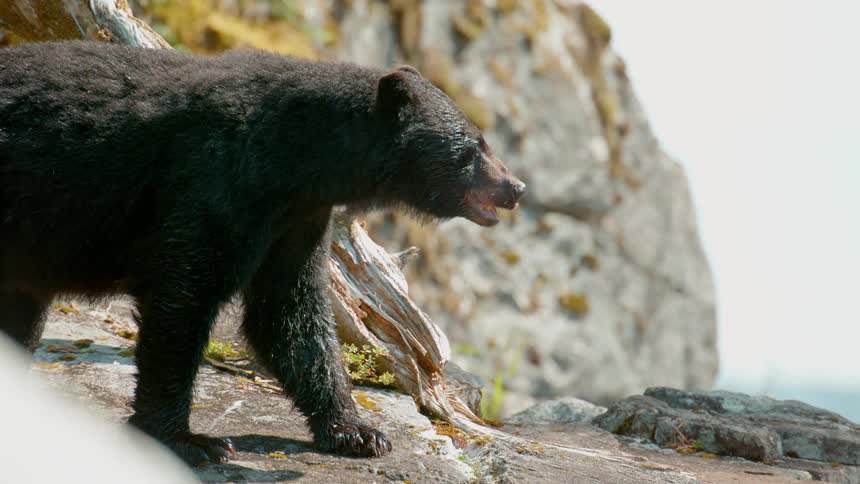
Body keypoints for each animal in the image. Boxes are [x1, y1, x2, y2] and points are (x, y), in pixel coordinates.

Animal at [0, 41, 525, 466]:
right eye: (474, 146)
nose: (515, 187)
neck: (290, 160)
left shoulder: (296, 221)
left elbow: (289, 313)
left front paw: (358, 432)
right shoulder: (212, 182)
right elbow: (183, 302)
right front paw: (189, 439)